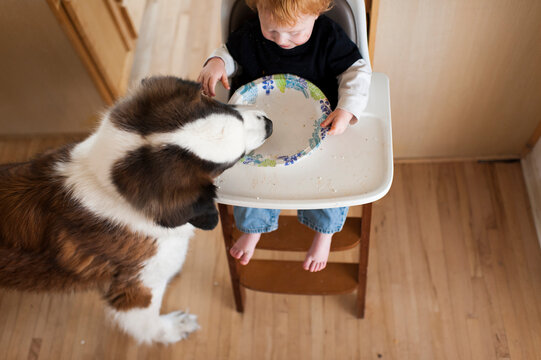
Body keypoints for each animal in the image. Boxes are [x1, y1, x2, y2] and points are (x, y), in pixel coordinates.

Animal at [0, 77, 272, 344]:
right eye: (233, 160)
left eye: (227, 108)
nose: (269, 125)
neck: (108, 187)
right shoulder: (137, 288)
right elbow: (148, 323)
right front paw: (173, 328)